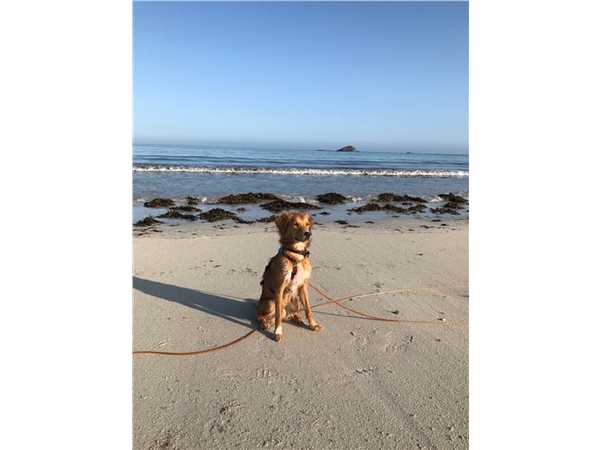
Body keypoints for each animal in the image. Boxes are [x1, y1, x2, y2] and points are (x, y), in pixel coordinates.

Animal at [258, 211, 324, 342]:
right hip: (270, 302)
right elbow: (278, 315)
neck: (295, 257)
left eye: (307, 224)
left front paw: (312, 324)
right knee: (264, 315)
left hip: (295, 302)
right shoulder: (280, 288)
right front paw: (278, 331)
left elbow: (308, 309)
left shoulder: (303, 285)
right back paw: (265, 323)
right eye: (295, 224)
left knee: (288, 314)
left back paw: (297, 319)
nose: (308, 233)